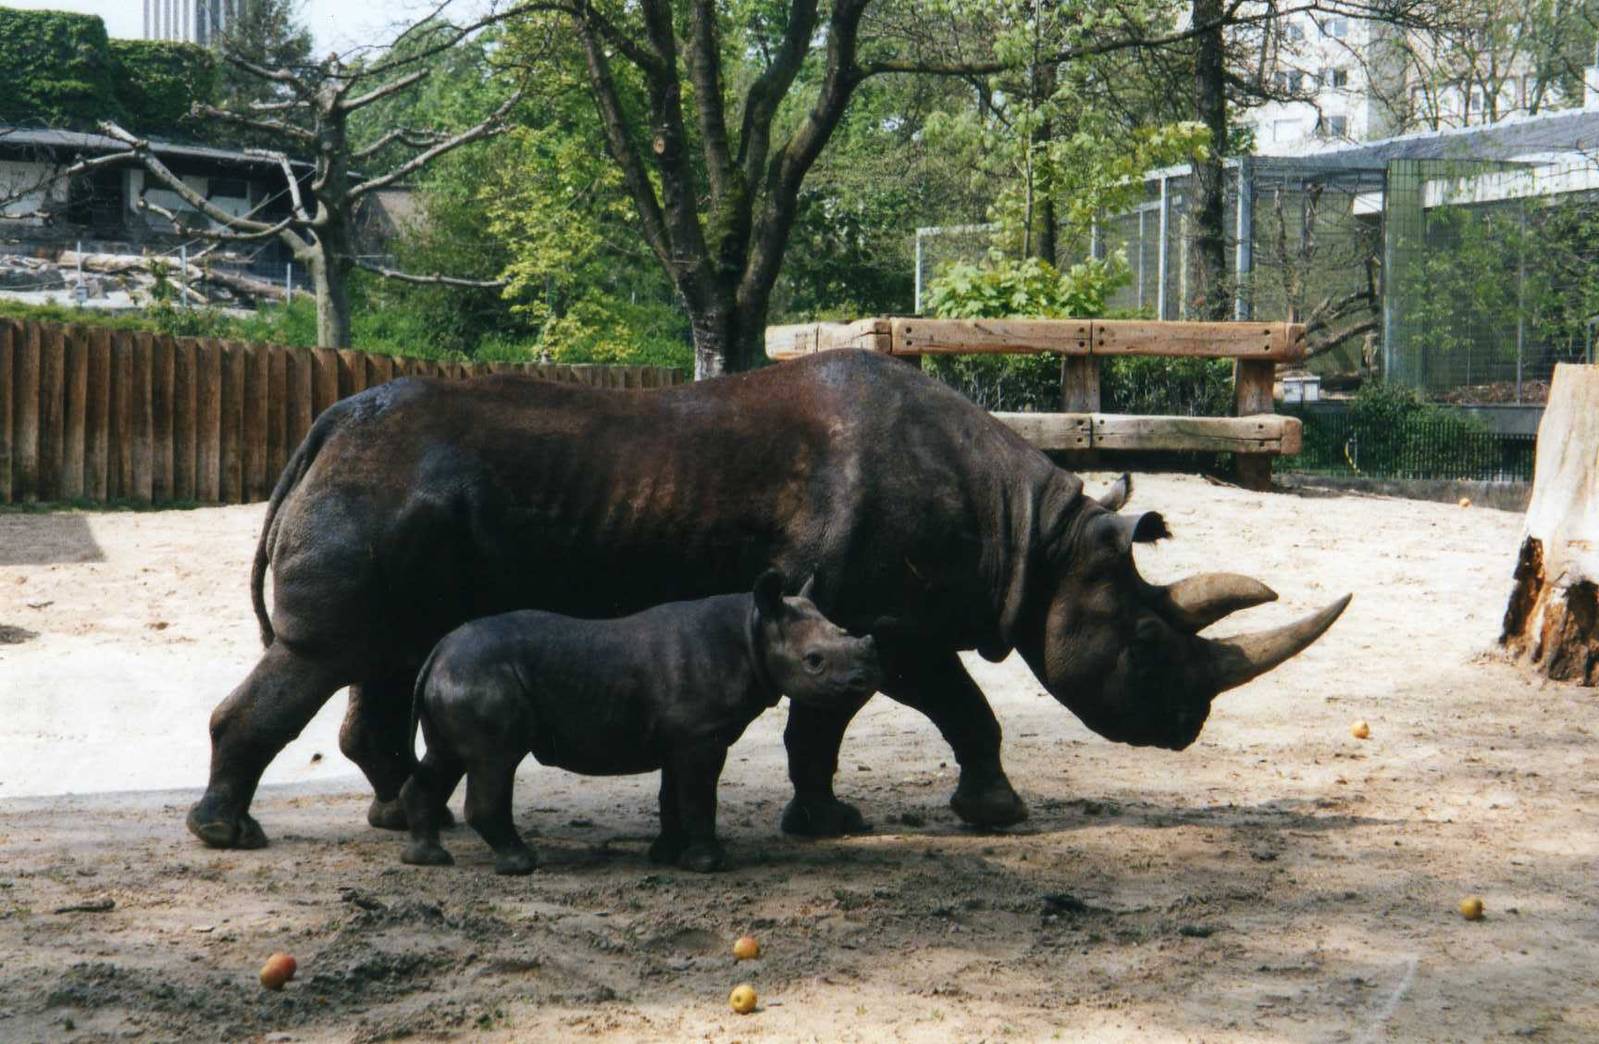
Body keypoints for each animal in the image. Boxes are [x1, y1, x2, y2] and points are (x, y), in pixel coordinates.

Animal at [186, 349, 1349, 850]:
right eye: (1151, 642)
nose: (1187, 726)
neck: (1041, 543)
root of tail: (326, 428)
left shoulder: (874, 621)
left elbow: (848, 725)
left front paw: (834, 820)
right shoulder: (886, 620)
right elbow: (926, 712)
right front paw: (975, 817)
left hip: (396, 509)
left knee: (379, 660)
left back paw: (393, 819)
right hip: (381, 496)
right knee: (324, 659)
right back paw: (229, 838)